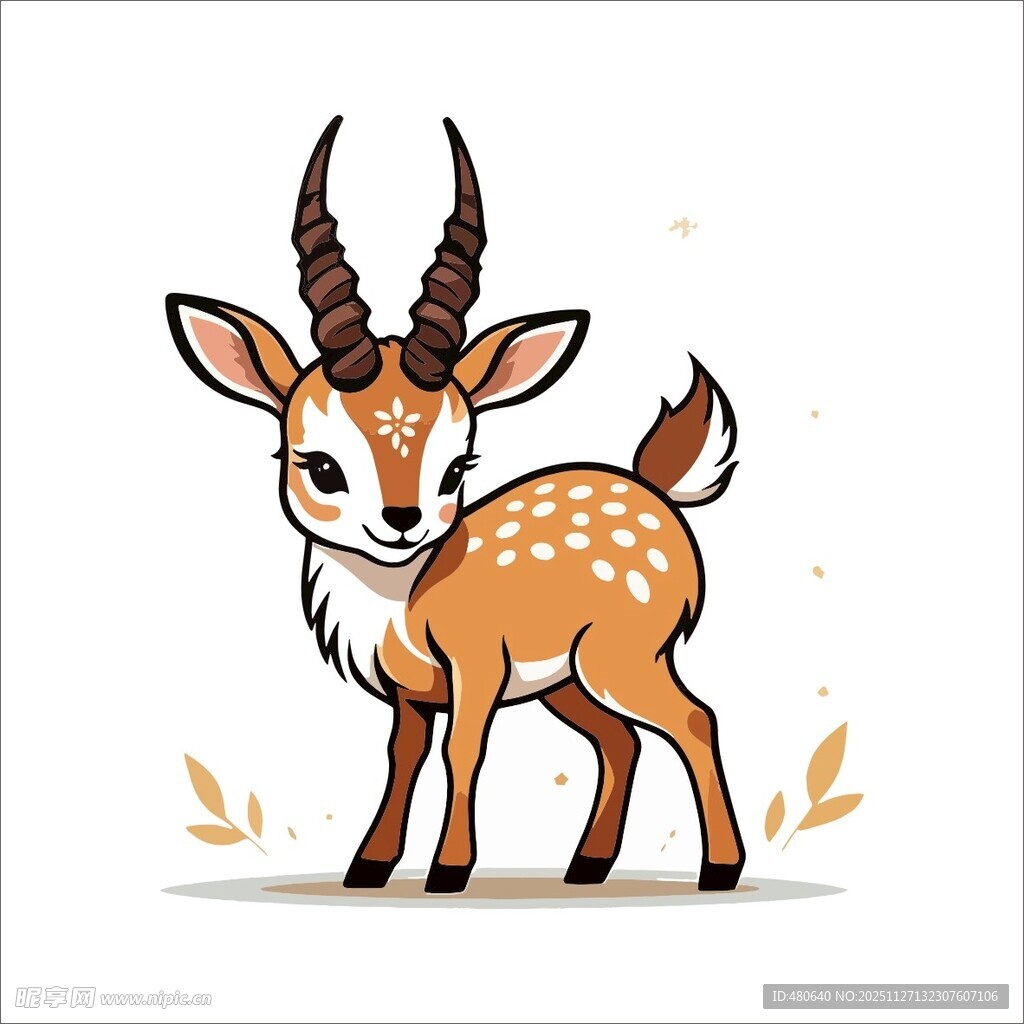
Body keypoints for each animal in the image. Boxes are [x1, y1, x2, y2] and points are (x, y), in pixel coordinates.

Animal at [166, 116, 745, 894]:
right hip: (566, 680)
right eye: (319, 465)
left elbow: (462, 752)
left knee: (693, 720)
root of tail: (655, 488)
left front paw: (448, 870)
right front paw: (368, 866)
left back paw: (719, 869)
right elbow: (403, 757)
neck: (402, 601)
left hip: (620, 657)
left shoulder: (477, 668)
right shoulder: (411, 693)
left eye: (457, 466)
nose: (401, 524)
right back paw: (587, 867)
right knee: (620, 739)